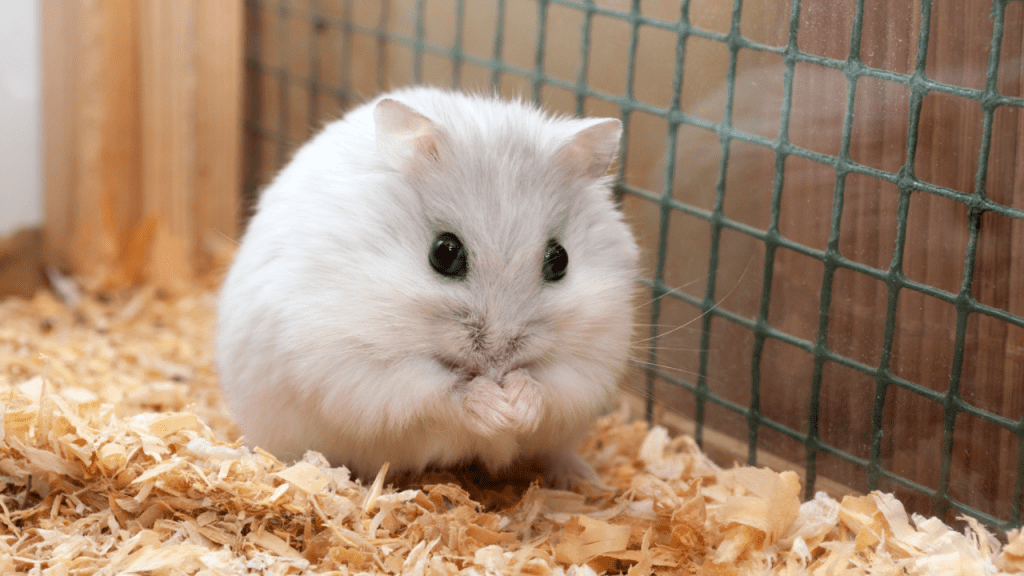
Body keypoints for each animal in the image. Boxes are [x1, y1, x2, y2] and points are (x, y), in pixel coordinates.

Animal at [216, 86, 639, 486]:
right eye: (444, 253)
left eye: (560, 259)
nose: (498, 360)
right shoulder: (358, 365)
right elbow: (440, 390)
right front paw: (496, 409)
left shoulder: (593, 361)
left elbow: (550, 384)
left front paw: (517, 407)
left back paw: (582, 478)